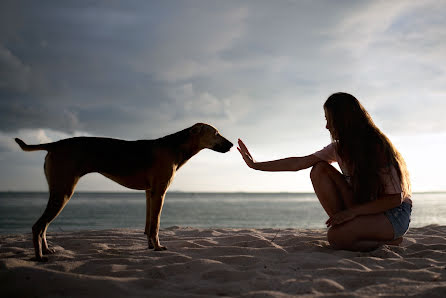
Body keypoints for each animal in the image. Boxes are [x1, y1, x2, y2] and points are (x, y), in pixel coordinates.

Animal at [15, 121, 233, 260]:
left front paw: (150, 246)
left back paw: (46, 251)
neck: (175, 146)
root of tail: (55, 144)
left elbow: (149, 226)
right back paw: (39, 257)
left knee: (43, 227)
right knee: (38, 226)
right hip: (64, 192)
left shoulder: (150, 193)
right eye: (216, 133)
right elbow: (155, 225)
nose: (232, 145)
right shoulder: (159, 192)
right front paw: (158, 247)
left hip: (58, 191)